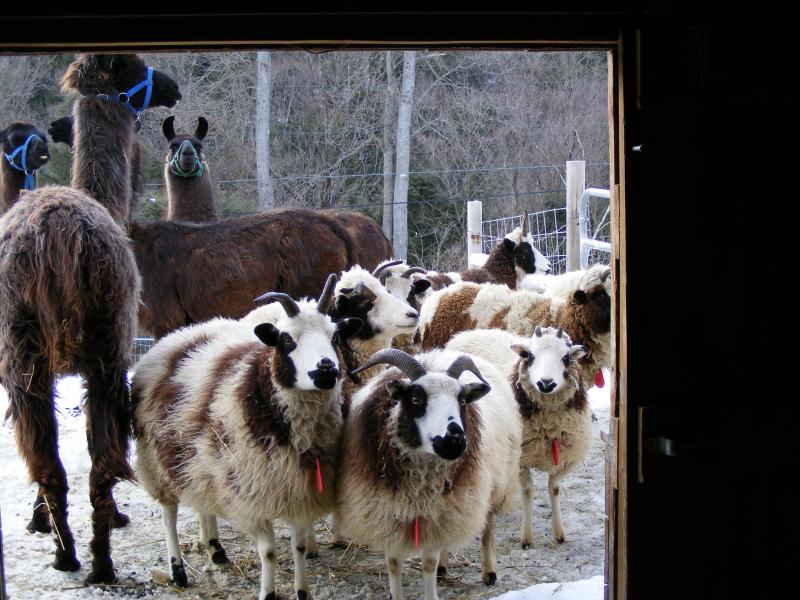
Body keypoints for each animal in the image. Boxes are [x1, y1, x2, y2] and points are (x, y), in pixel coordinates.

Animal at [132, 274, 361, 600]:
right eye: (287, 340)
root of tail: (184, 333)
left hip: (200, 461)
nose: (326, 370)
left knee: (203, 504)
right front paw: (268, 593)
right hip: (157, 462)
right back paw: (178, 571)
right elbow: (269, 552)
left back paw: (216, 551)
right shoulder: (251, 495)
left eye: (334, 337)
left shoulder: (297, 489)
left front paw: (302, 590)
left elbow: (298, 547)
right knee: (168, 515)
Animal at [333, 348, 522, 600]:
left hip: (490, 483)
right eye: (416, 400)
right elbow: (393, 562)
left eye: (462, 400)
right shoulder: (387, 510)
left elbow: (428, 563)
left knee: (488, 526)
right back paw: (444, 567)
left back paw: (488, 572)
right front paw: (396, 594)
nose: (454, 439)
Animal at [445, 326, 591, 546]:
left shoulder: (568, 458)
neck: (549, 428)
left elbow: (554, 488)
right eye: (530, 355)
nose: (545, 383)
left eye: (565, 357)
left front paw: (559, 532)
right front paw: (527, 536)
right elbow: (528, 490)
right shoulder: (520, 458)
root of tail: (469, 332)